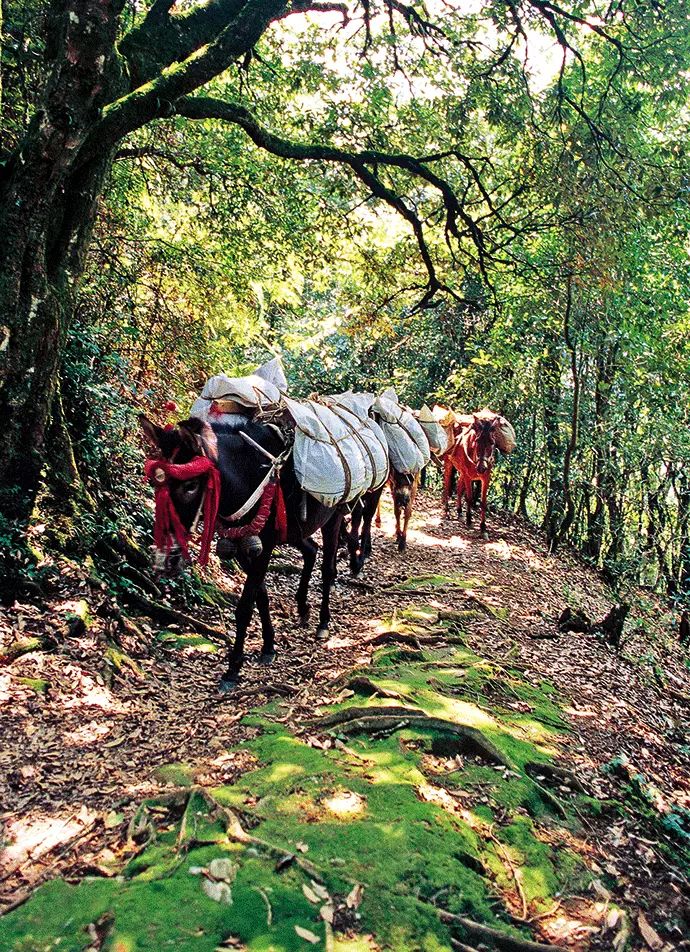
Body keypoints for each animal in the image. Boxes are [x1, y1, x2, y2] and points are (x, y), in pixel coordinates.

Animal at [444, 410, 512, 540]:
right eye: (477, 440)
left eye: (492, 443)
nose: (481, 468)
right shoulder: (468, 476)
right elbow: (469, 498)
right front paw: (469, 520)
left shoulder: (486, 478)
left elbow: (483, 502)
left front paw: (483, 528)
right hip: (449, 464)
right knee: (447, 484)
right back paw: (446, 510)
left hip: (462, 472)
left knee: (459, 486)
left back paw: (459, 512)